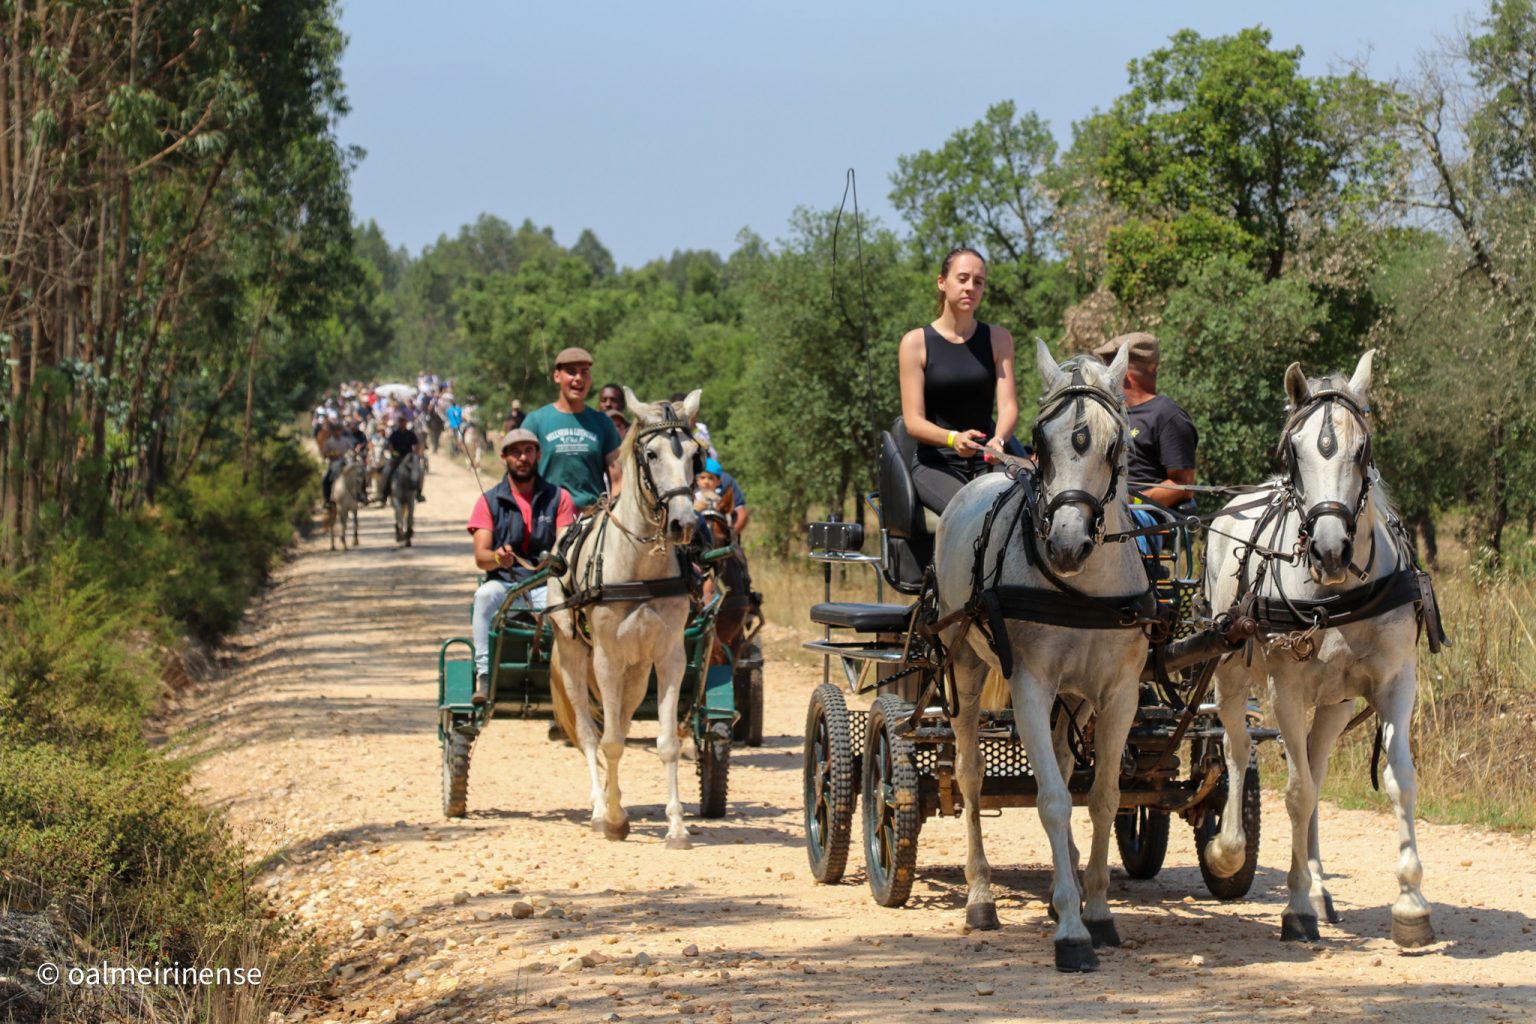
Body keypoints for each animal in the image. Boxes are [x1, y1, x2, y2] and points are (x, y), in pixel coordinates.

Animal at [546, 388, 702, 848]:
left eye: (696, 455)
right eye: (651, 454)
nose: (683, 523)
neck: (640, 567)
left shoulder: (669, 657)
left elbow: (666, 742)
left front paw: (676, 826)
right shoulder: (606, 659)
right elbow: (609, 742)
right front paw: (613, 820)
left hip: (635, 673)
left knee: (622, 719)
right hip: (576, 658)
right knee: (590, 733)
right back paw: (601, 807)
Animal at [933, 339, 1152, 972]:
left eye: (1114, 443)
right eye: (1041, 439)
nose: (1067, 544)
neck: (1084, 588)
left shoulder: (1119, 694)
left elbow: (1102, 796)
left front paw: (1095, 910)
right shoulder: (1028, 683)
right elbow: (1052, 798)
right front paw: (1072, 933)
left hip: (1073, 698)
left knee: (1063, 756)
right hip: (965, 665)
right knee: (970, 776)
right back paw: (981, 897)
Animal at [1203, 350, 1442, 947]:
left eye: (1364, 450)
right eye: (1296, 450)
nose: (1331, 550)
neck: (1339, 593)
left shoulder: (1395, 683)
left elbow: (1399, 781)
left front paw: (1411, 902)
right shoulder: (1285, 690)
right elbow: (1296, 794)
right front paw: (1293, 907)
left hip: (1335, 702)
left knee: (1313, 762)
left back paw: (1315, 885)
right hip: (1230, 672)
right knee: (1236, 749)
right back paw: (1229, 850)